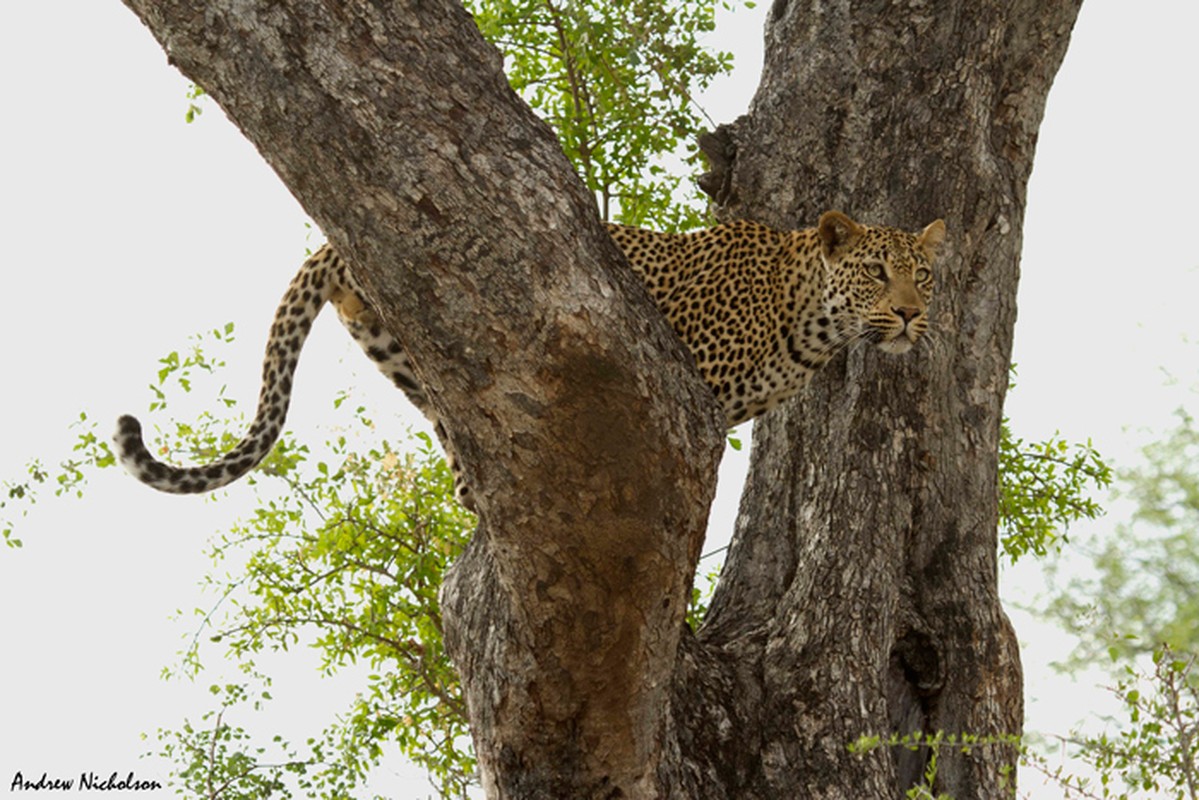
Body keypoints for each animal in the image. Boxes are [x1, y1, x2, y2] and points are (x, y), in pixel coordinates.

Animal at [119, 211, 944, 513]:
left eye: (924, 276)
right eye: (876, 273)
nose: (910, 313)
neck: (812, 328)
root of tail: (332, 243)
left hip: (399, 352)